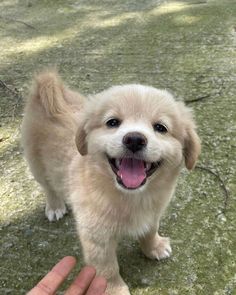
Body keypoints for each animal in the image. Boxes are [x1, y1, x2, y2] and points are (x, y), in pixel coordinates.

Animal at [21, 70, 201, 294]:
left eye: (160, 127)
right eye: (113, 123)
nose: (134, 139)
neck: (131, 197)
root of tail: (46, 87)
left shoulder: (152, 215)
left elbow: (150, 231)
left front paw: (154, 247)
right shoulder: (97, 240)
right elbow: (108, 269)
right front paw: (115, 289)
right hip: (36, 164)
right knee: (48, 187)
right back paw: (55, 206)